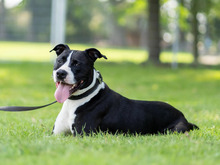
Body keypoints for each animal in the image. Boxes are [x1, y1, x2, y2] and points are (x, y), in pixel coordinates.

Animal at [50, 43, 199, 135]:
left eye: (77, 63)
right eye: (60, 60)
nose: (61, 73)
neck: (75, 101)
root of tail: (182, 115)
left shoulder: (82, 134)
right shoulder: (55, 135)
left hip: (174, 130)